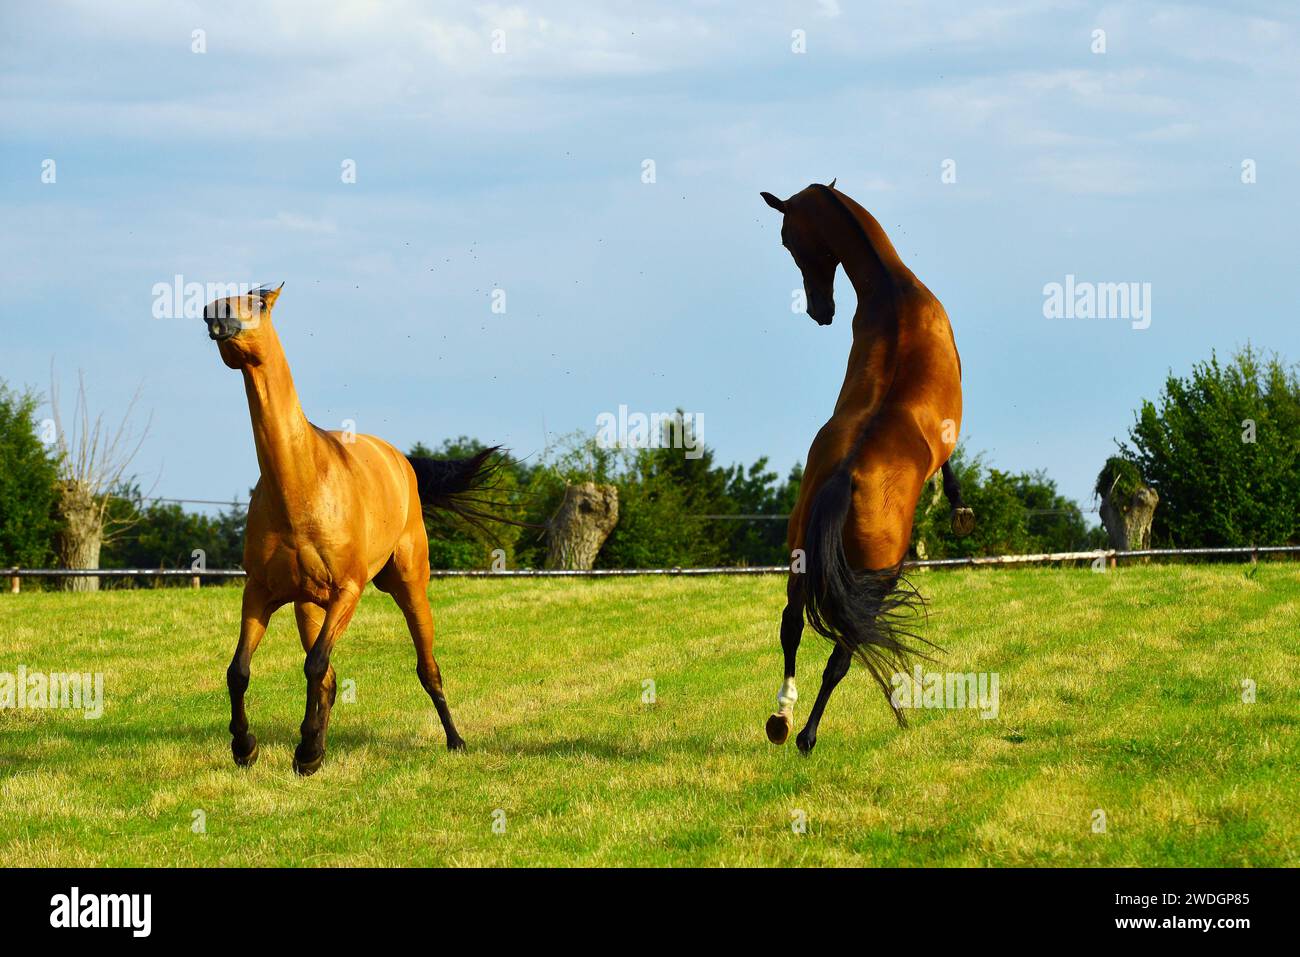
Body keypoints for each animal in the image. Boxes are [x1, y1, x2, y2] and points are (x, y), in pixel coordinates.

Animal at [202, 284, 501, 775]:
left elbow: (315, 665)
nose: (216, 313)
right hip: (308, 605)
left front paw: (304, 750)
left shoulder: (348, 590)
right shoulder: (259, 591)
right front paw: (249, 748)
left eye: (259, 303)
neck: (302, 485)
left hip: (408, 585)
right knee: (326, 674)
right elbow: (242, 670)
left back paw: (455, 740)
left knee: (427, 667)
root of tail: (402, 460)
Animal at [758, 181, 974, 754]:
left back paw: (782, 717)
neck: (893, 291)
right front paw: (960, 509)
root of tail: (842, 480)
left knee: (791, 625)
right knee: (842, 653)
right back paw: (808, 734)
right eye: (786, 241)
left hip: (801, 558)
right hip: (876, 578)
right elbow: (951, 468)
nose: (820, 310)